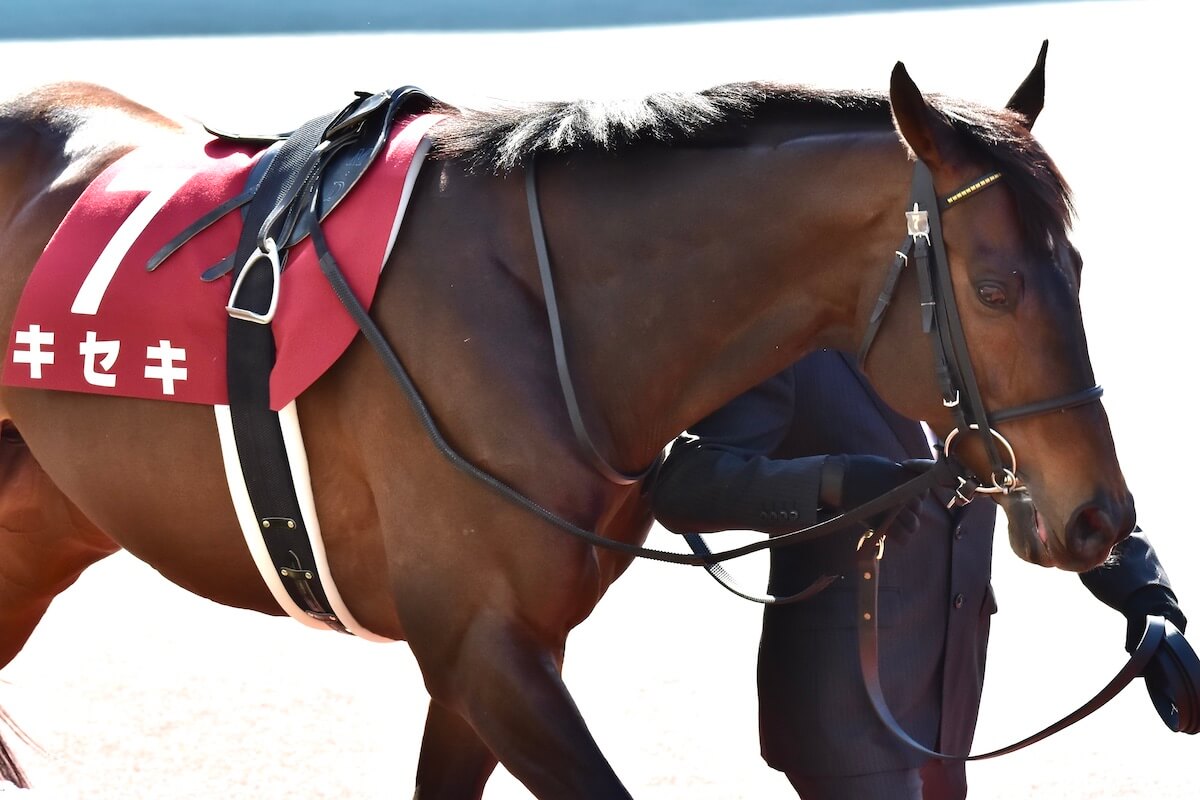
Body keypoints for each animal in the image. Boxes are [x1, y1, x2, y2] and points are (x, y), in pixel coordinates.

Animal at [0, 47, 1128, 796]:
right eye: (994, 287)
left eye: (1076, 267)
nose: (1098, 516)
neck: (538, 315)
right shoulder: (482, 649)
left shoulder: (490, 658)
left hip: (41, 530)